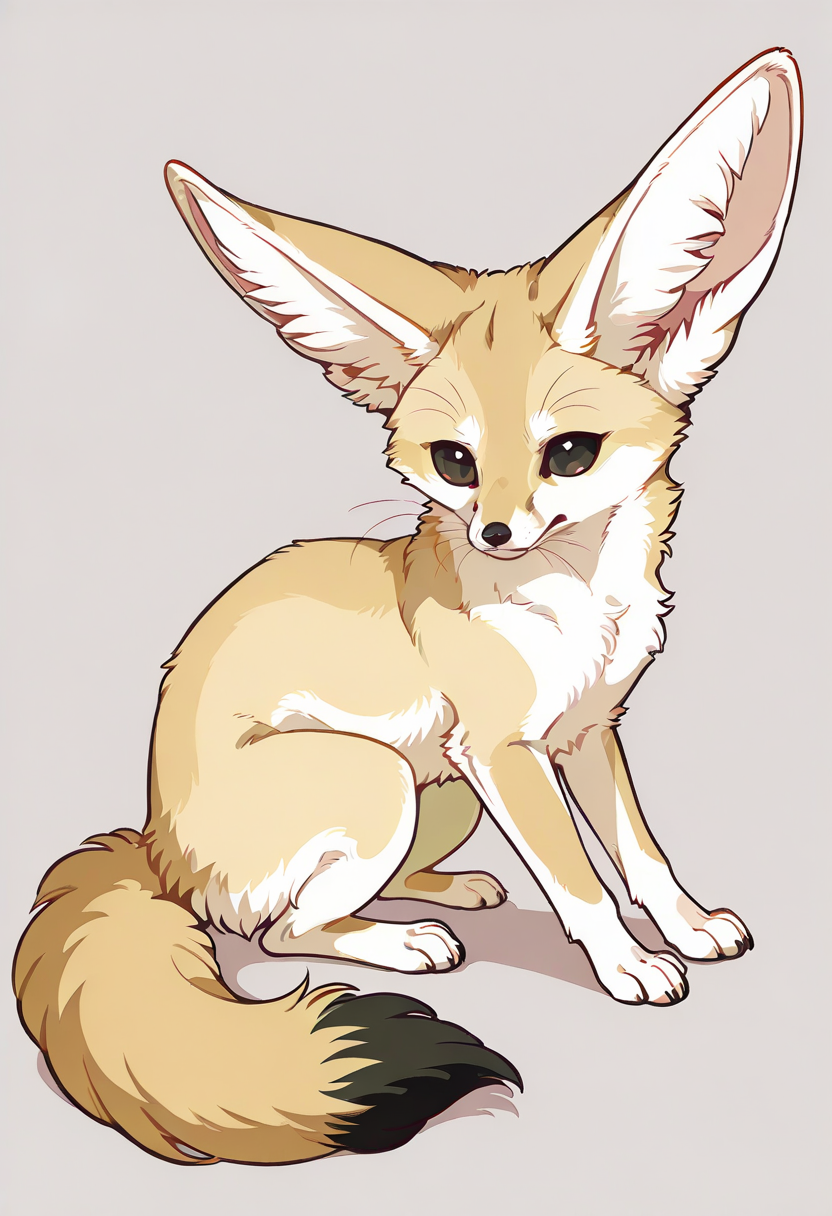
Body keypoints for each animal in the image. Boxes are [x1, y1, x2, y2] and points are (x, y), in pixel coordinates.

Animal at [13, 49, 802, 1166]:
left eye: (570, 454)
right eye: (454, 462)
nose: (497, 534)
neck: (578, 611)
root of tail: (156, 847)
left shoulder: (586, 732)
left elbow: (640, 855)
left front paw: (687, 926)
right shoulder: (506, 750)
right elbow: (582, 879)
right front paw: (628, 965)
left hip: (443, 791)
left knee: (329, 900)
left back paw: (444, 893)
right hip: (379, 777)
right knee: (279, 929)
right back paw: (407, 940)